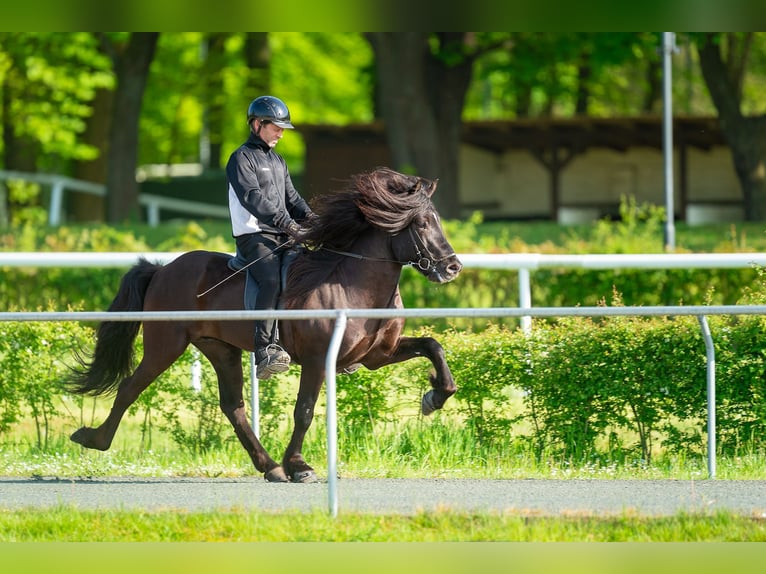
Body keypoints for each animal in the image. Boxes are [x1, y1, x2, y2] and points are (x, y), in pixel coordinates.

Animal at [64, 167, 463, 483]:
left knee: (233, 406)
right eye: (423, 223)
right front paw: (300, 466)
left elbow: (433, 346)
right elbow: (304, 412)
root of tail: (163, 269)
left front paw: (435, 396)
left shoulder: (377, 355)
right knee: (131, 386)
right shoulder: (318, 360)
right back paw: (94, 439)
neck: (351, 282)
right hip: (166, 345)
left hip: (219, 349)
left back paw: (269, 466)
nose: (452, 267)